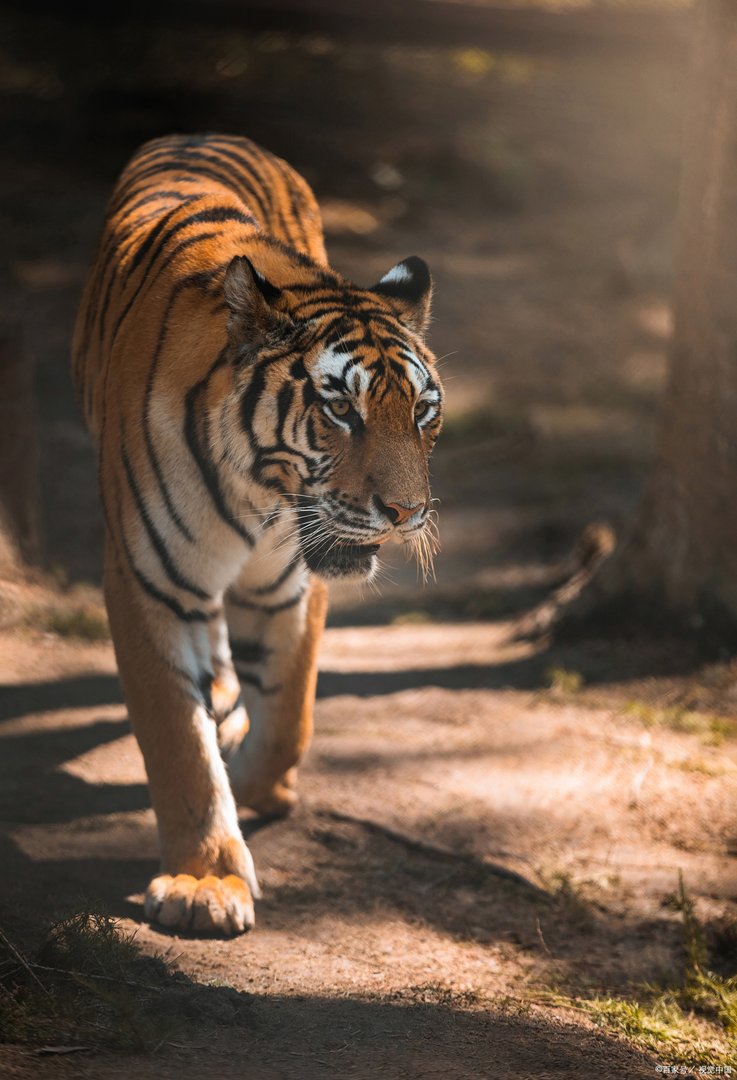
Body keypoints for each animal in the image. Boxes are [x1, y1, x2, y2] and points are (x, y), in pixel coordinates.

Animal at [72, 133, 443, 936]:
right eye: (341, 409)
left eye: (422, 411)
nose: (406, 513)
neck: (257, 493)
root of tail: (203, 132)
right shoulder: (145, 580)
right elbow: (177, 742)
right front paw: (203, 883)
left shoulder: (292, 583)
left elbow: (291, 715)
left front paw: (259, 785)